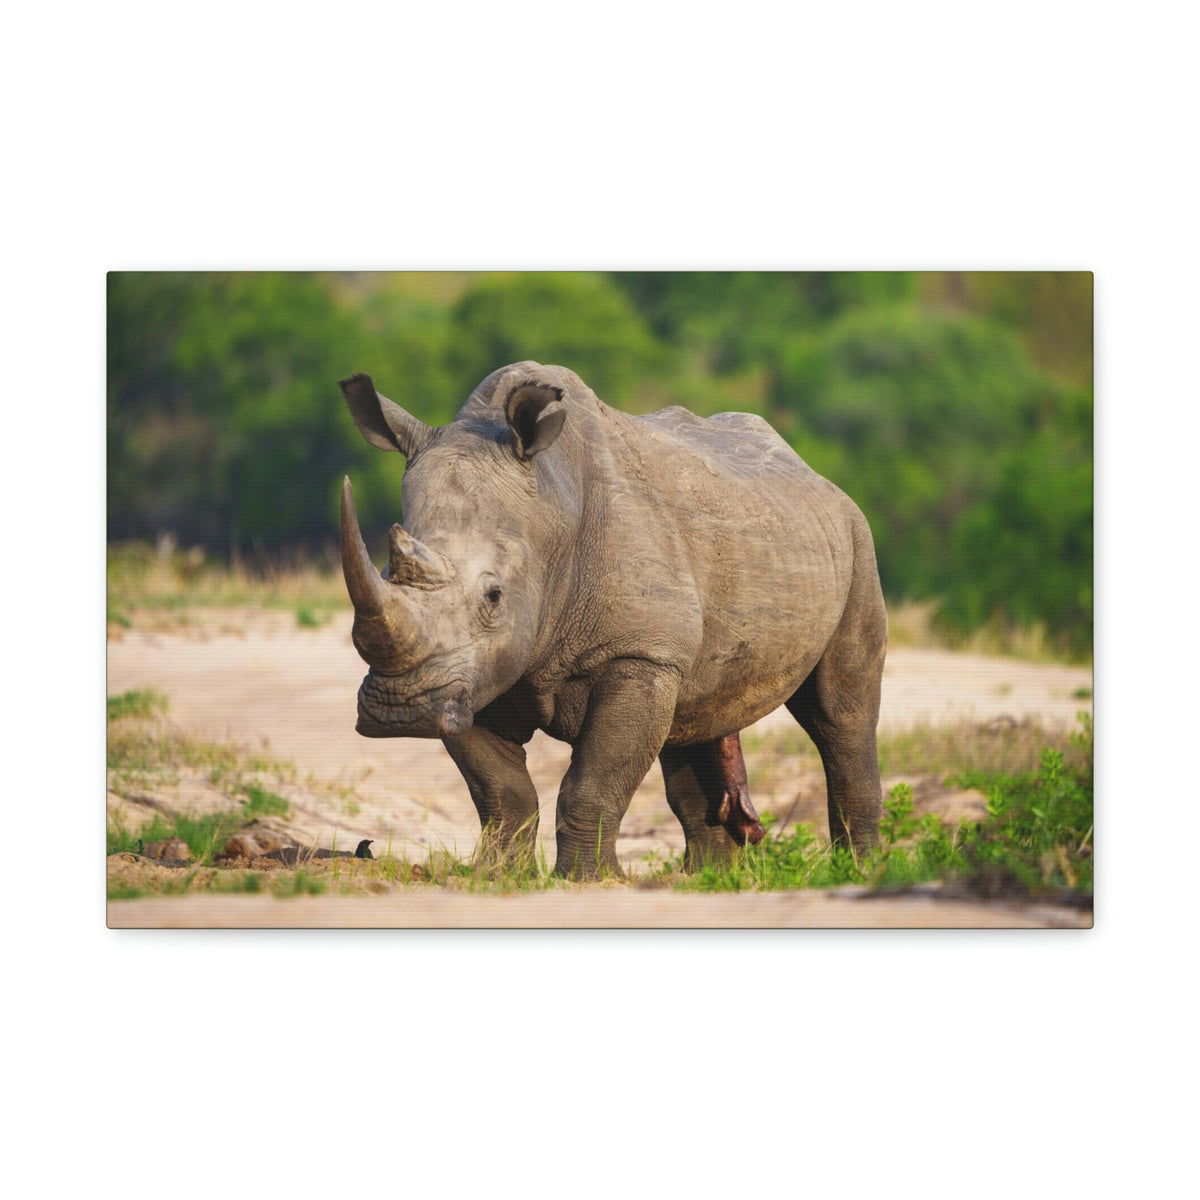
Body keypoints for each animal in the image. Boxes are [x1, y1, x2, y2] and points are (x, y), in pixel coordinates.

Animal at [339, 362, 887, 878]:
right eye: (386, 574)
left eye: (494, 597)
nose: (400, 709)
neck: (550, 513)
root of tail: (811, 472)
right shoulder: (464, 676)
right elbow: (501, 791)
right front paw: (497, 876)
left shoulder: (637, 653)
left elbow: (594, 781)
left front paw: (586, 880)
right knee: (694, 717)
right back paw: (705, 877)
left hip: (855, 537)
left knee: (841, 711)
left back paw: (856, 869)